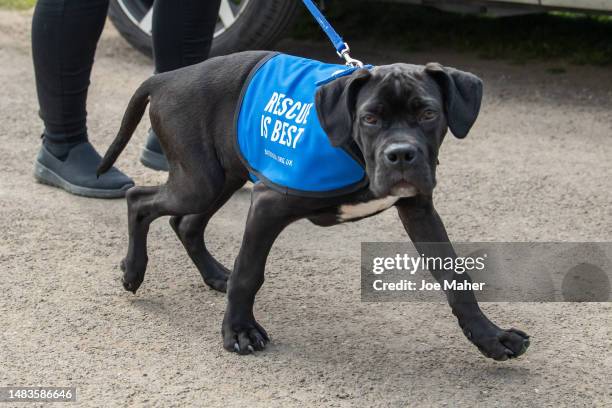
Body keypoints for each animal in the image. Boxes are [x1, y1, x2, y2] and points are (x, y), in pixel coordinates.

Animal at [98, 51, 528, 360]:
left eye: (428, 114)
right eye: (370, 118)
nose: (401, 155)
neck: (354, 151)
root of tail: (167, 77)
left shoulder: (419, 208)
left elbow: (455, 277)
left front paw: (490, 336)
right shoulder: (268, 203)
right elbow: (249, 273)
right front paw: (239, 331)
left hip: (224, 174)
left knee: (185, 223)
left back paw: (213, 274)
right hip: (200, 181)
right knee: (139, 200)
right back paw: (133, 271)